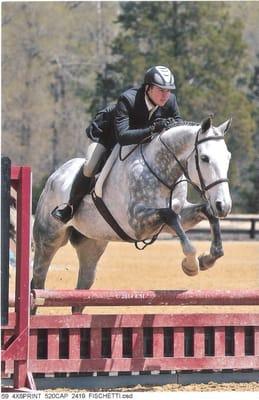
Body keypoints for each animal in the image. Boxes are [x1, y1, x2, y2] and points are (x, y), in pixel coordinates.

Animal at [31, 117, 233, 314]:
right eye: (205, 158)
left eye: (228, 157)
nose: (224, 206)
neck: (162, 171)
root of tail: (56, 175)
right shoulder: (137, 223)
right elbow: (170, 217)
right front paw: (190, 266)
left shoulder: (179, 215)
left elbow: (206, 212)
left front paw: (207, 259)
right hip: (49, 239)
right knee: (38, 281)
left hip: (92, 244)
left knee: (81, 292)